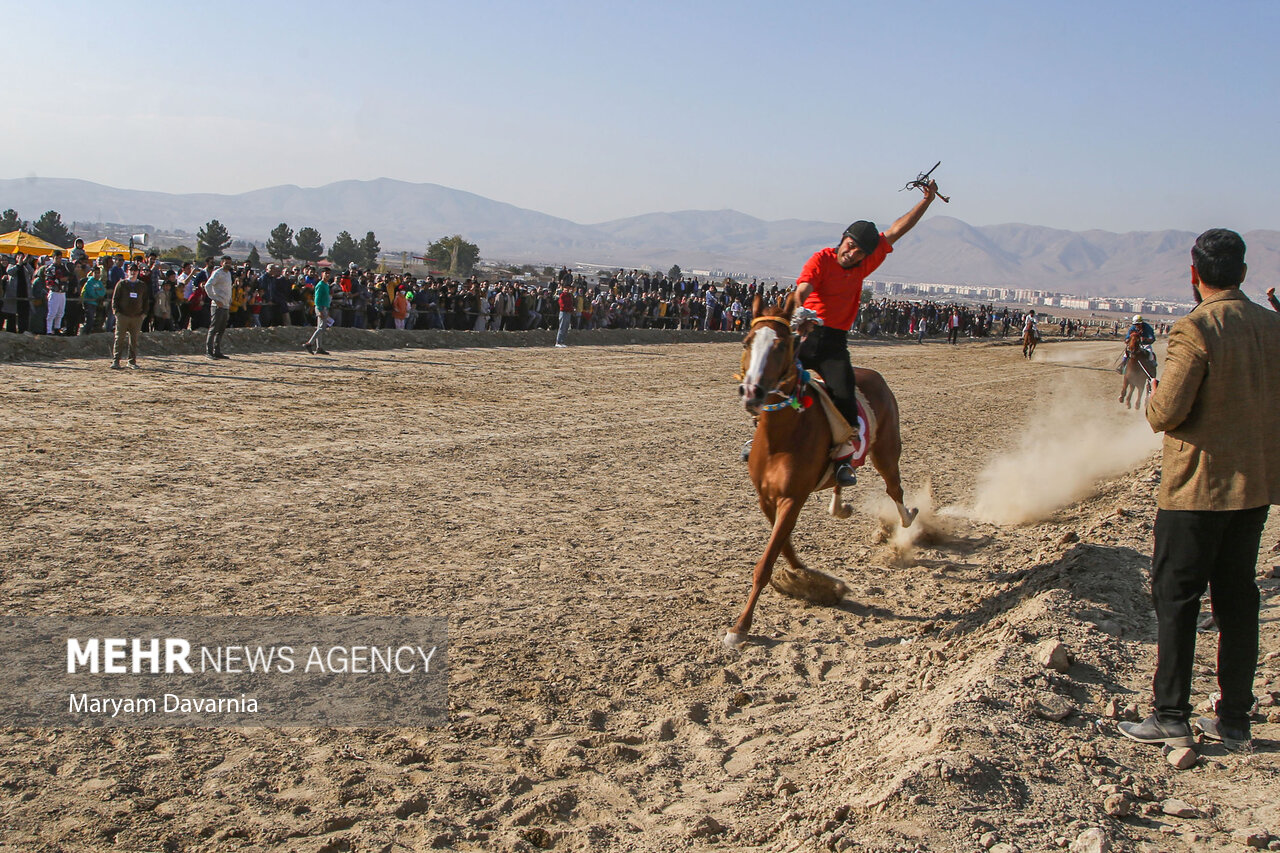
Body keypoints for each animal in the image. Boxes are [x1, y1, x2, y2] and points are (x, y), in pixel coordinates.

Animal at [727, 292, 916, 645]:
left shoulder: (793, 498)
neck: (781, 437)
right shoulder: (766, 498)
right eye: (747, 341)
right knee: (846, 477)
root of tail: (875, 375)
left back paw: (908, 519)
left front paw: (740, 628)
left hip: (887, 451)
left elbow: (766, 561)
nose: (752, 391)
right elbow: (784, 546)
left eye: (782, 345)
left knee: (894, 488)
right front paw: (806, 577)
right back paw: (840, 504)